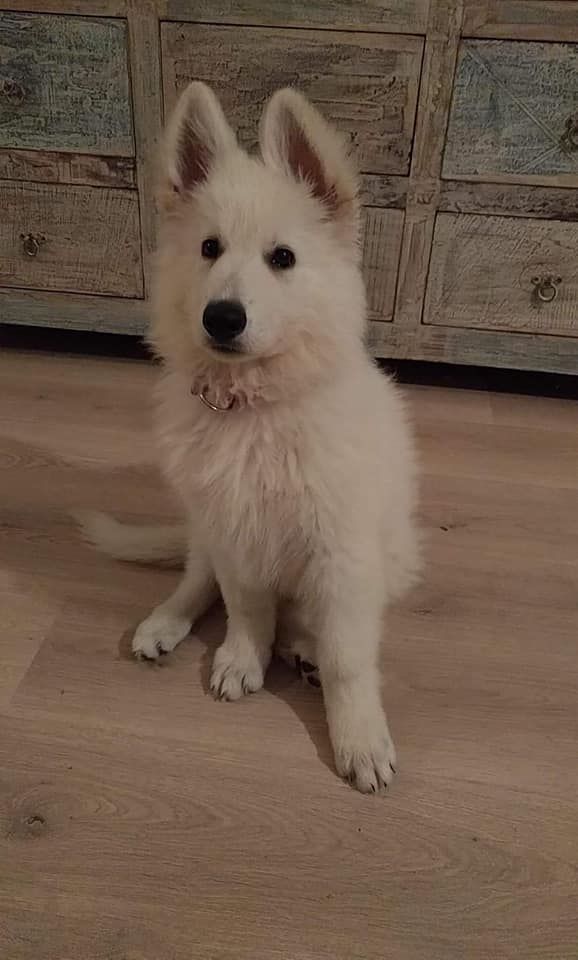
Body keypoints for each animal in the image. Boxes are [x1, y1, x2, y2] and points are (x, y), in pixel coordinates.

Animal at [82, 83, 418, 793]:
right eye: (209, 248)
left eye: (282, 258)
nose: (222, 318)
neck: (254, 406)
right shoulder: (233, 526)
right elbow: (243, 605)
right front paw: (242, 658)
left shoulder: (341, 551)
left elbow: (349, 657)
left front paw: (358, 737)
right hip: (204, 526)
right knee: (198, 579)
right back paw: (165, 623)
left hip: (391, 556)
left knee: (313, 624)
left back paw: (303, 649)